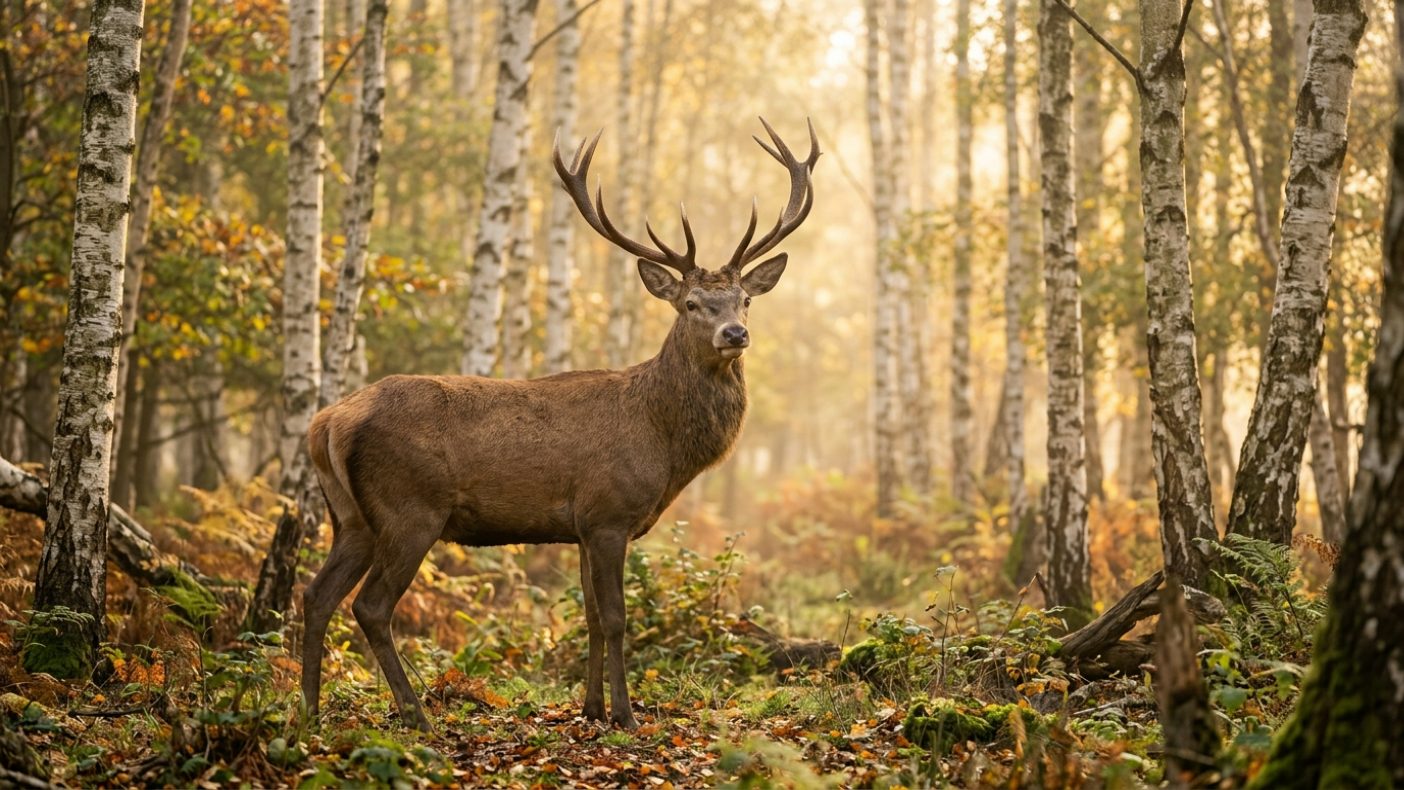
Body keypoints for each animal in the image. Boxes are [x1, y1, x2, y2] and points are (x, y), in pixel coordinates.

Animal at [299, 119, 819, 732]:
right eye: (692, 303)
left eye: (744, 300)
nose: (735, 334)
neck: (664, 444)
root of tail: (327, 421)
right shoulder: (610, 512)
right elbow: (616, 618)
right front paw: (626, 715)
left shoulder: (581, 525)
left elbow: (590, 617)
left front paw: (591, 709)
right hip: (410, 508)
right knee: (371, 605)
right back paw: (416, 716)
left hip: (351, 518)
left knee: (316, 595)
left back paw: (309, 712)